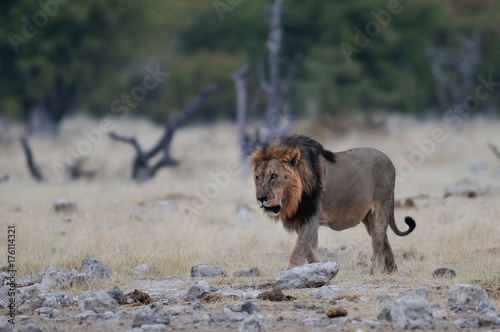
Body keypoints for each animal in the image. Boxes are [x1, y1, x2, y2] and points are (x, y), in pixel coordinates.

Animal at [248, 134, 416, 274]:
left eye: (274, 176)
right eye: (257, 177)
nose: (260, 198)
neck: (294, 198)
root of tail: (389, 160)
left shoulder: (312, 215)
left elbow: (299, 249)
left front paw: (290, 273)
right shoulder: (301, 218)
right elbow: (309, 250)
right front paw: (318, 268)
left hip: (381, 206)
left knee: (377, 240)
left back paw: (375, 272)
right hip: (367, 218)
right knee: (384, 239)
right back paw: (391, 269)